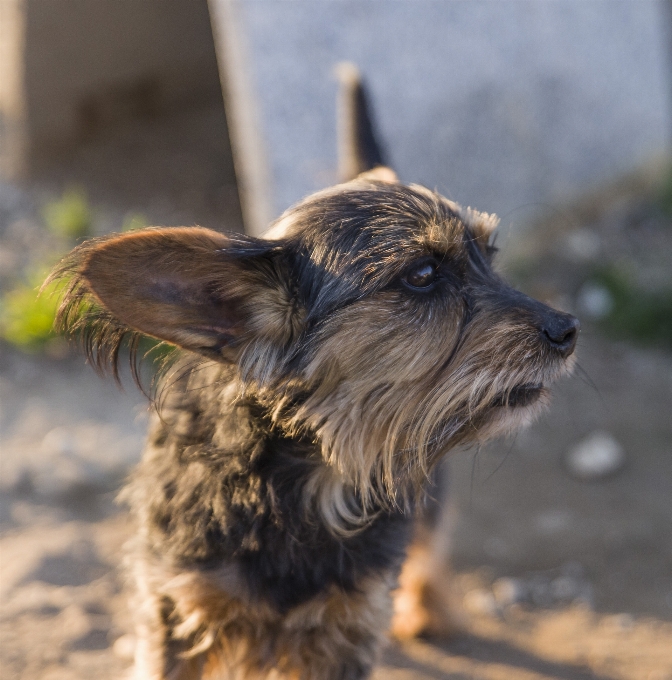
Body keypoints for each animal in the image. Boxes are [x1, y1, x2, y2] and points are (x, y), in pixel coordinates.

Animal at [51, 67, 576, 680]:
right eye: (423, 274)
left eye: (491, 256)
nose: (568, 330)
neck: (307, 478)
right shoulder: (176, 609)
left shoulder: (348, 624)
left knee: (432, 539)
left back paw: (431, 609)